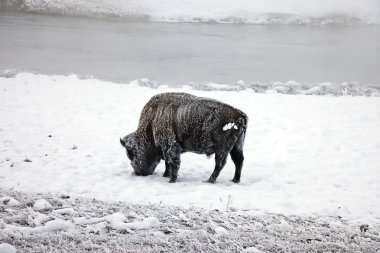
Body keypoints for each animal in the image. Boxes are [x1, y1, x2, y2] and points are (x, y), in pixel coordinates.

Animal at [120, 92, 248, 183]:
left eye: (131, 154)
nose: (138, 173)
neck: (152, 122)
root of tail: (240, 115)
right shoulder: (167, 149)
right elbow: (168, 163)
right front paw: (166, 175)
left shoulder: (170, 146)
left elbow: (173, 162)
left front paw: (171, 180)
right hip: (237, 146)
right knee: (238, 161)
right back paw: (235, 180)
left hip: (222, 149)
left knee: (220, 164)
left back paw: (209, 180)